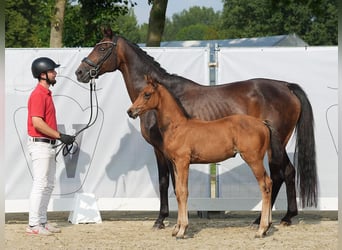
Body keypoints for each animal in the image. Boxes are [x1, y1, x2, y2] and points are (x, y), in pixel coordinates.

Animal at [127, 75, 282, 237]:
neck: (177, 126)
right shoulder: (175, 164)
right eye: (140, 93)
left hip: (253, 160)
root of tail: (263, 123)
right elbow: (178, 192)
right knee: (270, 183)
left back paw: (261, 229)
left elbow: (183, 192)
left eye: (147, 94)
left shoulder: (183, 162)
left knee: (265, 185)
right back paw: (267, 225)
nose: (130, 111)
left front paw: (182, 230)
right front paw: (176, 228)